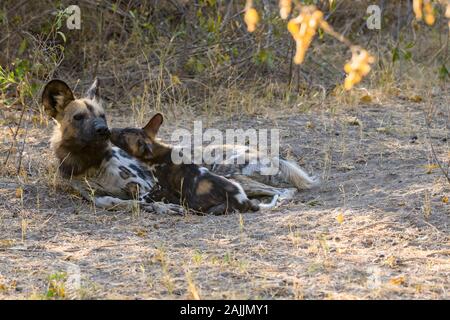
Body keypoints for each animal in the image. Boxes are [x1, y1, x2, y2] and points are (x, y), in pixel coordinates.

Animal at [41, 78, 184, 214]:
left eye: (102, 116)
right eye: (78, 117)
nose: (104, 129)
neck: (90, 164)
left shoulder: (144, 185)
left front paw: (163, 206)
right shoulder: (97, 197)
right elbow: (125, 203)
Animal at [110, 114, 278, 214]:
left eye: (123, 136)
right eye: (124, 128)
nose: (109, 129)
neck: (159, 154)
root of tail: (245, 200)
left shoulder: (162, 188)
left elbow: (145, 197)